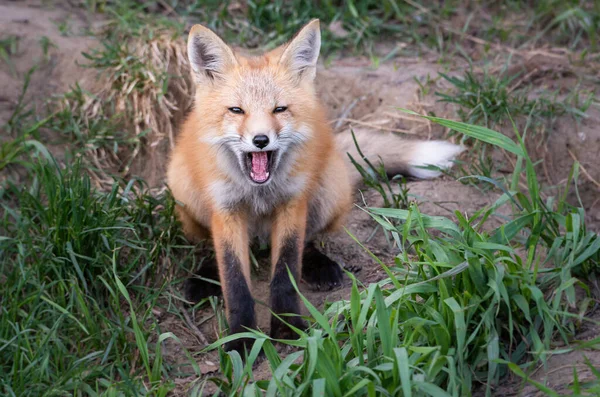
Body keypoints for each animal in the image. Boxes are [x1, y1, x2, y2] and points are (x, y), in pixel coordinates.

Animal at [166, 20, 462, 352]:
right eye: (236, 110)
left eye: (279, 109)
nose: (260, 140)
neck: (259, 192)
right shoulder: (226, 209)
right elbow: (234, 280)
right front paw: (242, 338)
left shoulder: (293, 203)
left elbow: (286, 271)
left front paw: (287, 327)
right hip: (186, 193)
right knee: (208, 244)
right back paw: (206, 275)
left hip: (328, 191)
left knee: (309, 240)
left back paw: (319, 265)